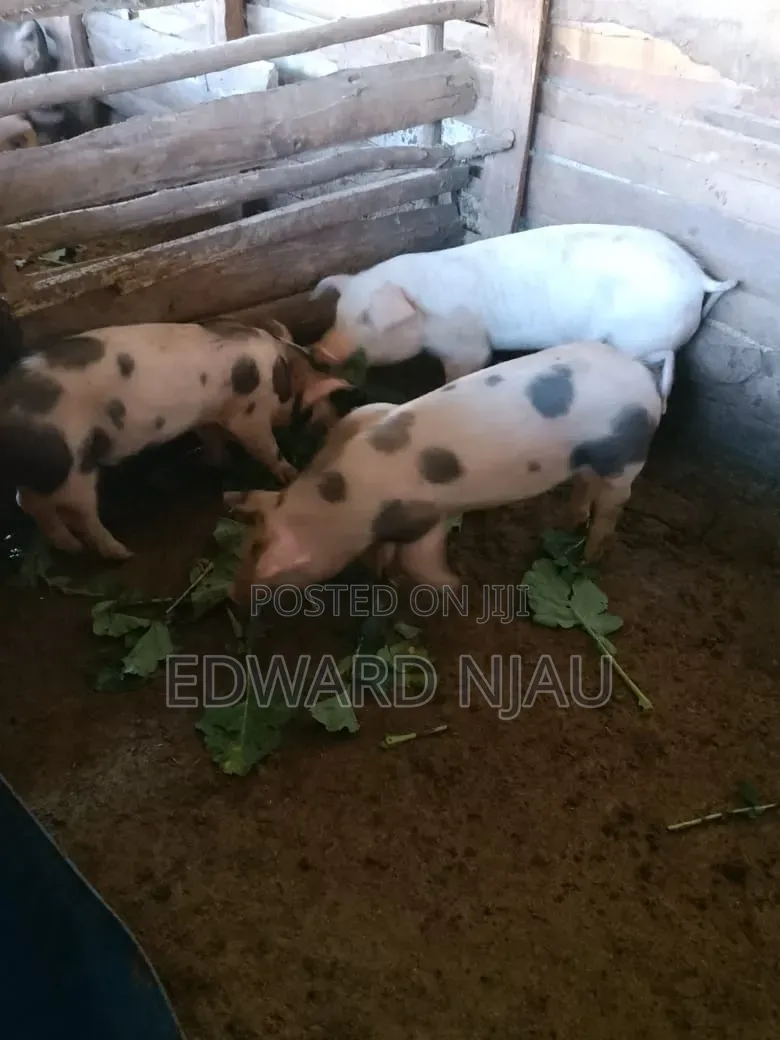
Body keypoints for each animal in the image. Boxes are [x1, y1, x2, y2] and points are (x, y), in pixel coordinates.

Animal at [0, 319, 349, 560]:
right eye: (319, 402)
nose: (337, 420)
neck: (281, 371)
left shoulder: (210, 415)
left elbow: (211, 437)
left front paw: (216, 461)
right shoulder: (251, 415)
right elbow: (266, 448)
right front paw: (290, 473)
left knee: (27, 502)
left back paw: (70, 547)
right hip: (75, 465)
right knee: (80, 512)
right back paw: (120, 553)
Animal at [239, 340, 665, 594]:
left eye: (263, 556)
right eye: (251, 538)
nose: (236, 596)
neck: (340, 497)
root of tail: (644, 377)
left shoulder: (423, 518)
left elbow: (419, 556)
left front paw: (451, 584)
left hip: (626, 453)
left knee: (613, 502)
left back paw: (590, 556)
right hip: (590, 455)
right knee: (585, 484)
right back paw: (569, 521)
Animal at [309, 222, 738, 400]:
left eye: (369, 320)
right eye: (339, 315)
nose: (318, 351)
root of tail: (698, 277)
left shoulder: (467, 345)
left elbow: (466, 367)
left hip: (636, 336)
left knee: (662, 357)